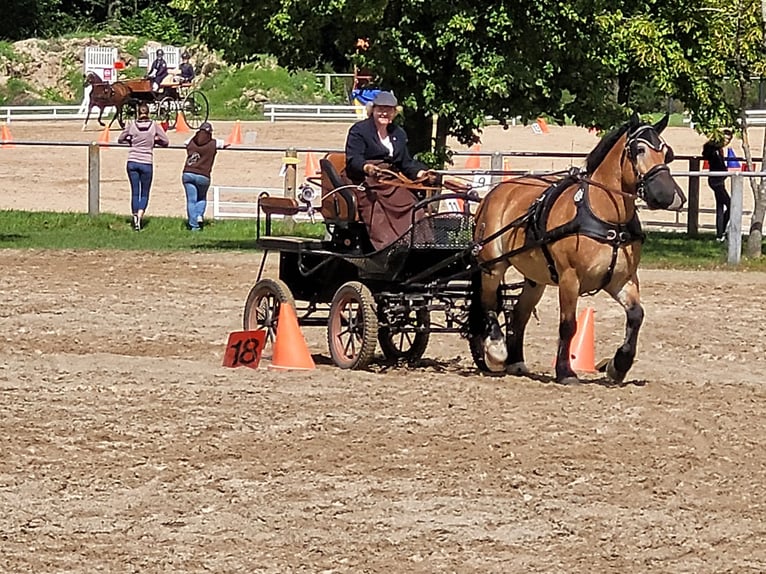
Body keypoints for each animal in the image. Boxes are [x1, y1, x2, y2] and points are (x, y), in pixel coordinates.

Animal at [472, 115, 688, 388]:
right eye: (639, 150)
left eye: (668, 153)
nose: (671, 197)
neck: (607, 217)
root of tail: (495, 193)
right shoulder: (569, 278)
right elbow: (568, 325)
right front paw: (566, 371)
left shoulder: (623, 280)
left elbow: (636, 315)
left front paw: (619, 366)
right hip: (492, 265)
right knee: (488, 303)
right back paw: (496, 348)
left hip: (535, 278)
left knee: (519, 315)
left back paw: (516, 361)